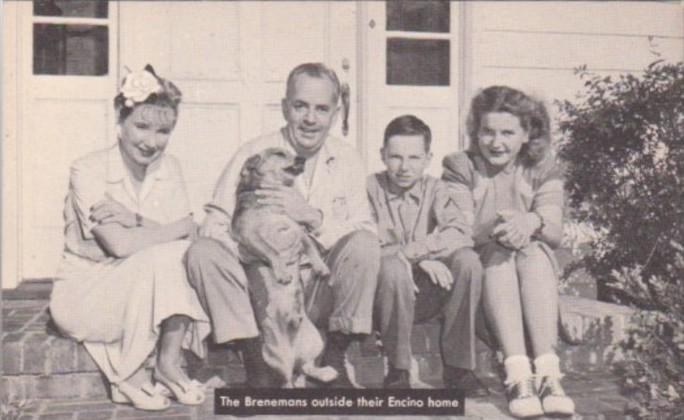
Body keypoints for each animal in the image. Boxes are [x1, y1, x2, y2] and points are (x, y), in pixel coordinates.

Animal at [232, 148, 336, 388]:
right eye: (278, 153)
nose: (302, 158)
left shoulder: (298, 230)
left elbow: (310, 247)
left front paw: (320, 266)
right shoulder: (251, 238)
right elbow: (273, 252)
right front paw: (281, 272)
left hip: (315, 341)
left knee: (307, 368)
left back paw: (325, 373)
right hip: (276, 356)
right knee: (287, 379)